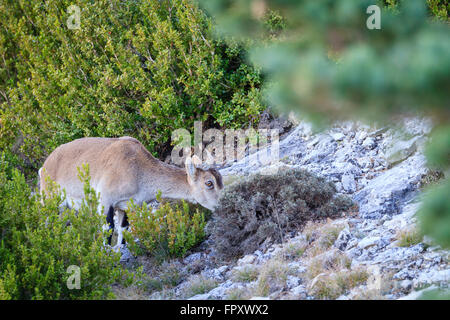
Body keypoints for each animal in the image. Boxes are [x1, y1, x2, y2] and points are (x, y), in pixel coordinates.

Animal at [39, 136, 223, 249]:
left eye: (220, 180)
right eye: (209, 183)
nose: (222, 204)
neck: (138, 170)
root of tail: (44, 167)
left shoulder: (125, 205)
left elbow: (123, 228)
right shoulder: (105, 200)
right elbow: (108, 228)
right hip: (51, 200)